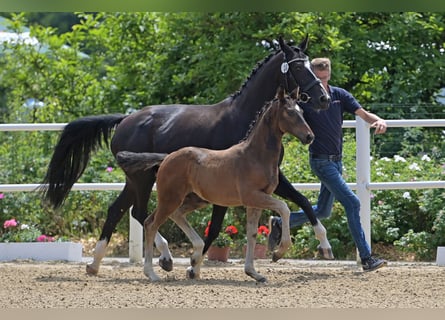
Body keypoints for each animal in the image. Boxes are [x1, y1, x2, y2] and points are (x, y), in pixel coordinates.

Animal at [116, 86, 314, 282]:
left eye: (302, 112)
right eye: (290, 112)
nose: (309, 136)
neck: (255, 156)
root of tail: (166, 157)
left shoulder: (255, 202)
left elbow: (252, 233)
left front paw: (254, 273)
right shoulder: (252, 196)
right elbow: (284, 208)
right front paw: (278, 253)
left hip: (193, 199)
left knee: (175, 215)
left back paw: (193, 258)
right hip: (170, 198)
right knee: (150, 224)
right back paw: (152, 272)